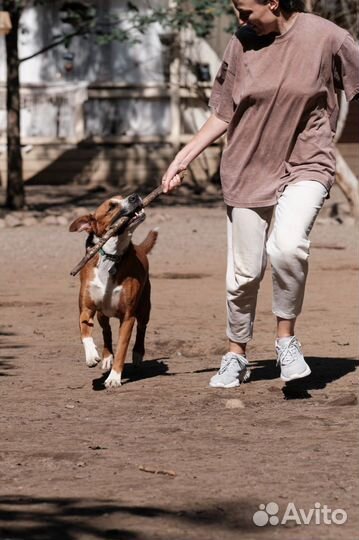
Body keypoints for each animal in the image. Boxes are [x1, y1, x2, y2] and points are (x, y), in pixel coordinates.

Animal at [69, 194, 157, 388]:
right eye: (111, 207)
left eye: (123, 198)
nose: (134, 196)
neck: (111, 257)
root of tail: (139, 247)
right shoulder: (86, 309)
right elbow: (84, 331)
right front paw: (91, 355)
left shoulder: (128, 317)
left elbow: (123, 346)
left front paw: (114, 377)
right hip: (102, 314)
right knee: (106, 330)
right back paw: (107, 356)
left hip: (144, 308)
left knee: (142, 328)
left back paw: (137, 354)